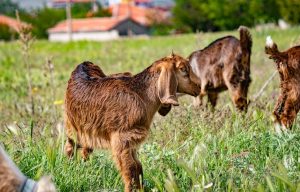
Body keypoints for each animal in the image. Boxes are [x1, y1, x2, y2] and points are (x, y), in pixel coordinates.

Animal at [64, 53, 200, 191]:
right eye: (183, 69)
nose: (199, 87)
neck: (143, 95)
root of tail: (84, 64)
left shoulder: (132, 141)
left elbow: (137, 166)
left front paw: (140, 188)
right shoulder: (121, 139)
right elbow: (130, 168)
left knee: (86, 149)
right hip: (72, 126)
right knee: (70, 146)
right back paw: (70, 167)